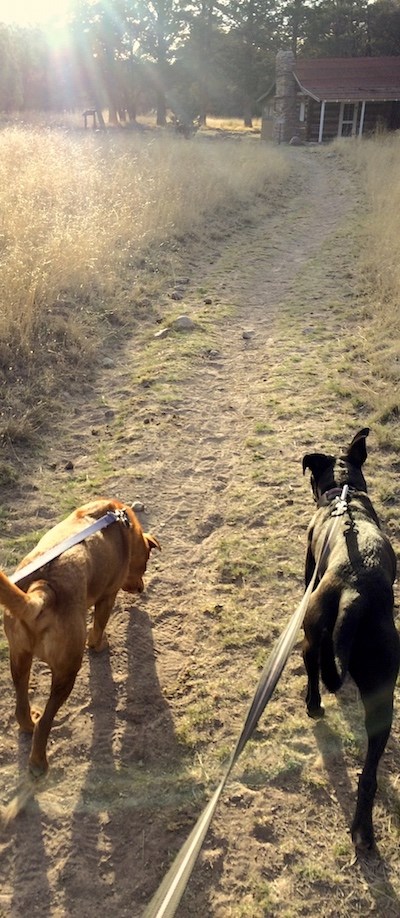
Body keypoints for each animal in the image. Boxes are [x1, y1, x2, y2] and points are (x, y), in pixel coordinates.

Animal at [0, 504, 159, 776]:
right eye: (145, 564)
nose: (140, 589)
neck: (121, 521)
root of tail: (41, 591)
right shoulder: (108, 596)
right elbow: (98, 630)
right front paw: (101, 644)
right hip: (67, 671)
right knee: (45, 722)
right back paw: (39, 764)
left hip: (19, 659)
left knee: (21, 706)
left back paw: (28, 723)